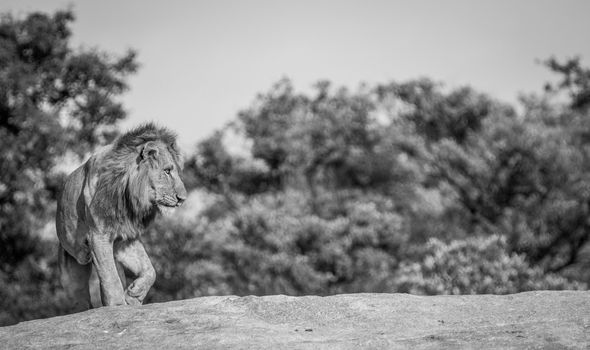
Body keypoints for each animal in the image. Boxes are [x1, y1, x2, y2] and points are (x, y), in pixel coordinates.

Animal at [56, 123, 187, 308]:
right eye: (167, 171)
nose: (182, 199)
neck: (127, 198)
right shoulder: (98, 235)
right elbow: (110, 277)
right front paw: (117, 305)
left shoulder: (124, 239)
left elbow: (150, 269)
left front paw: (134, 296)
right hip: (71, 273)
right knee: (81, 299)